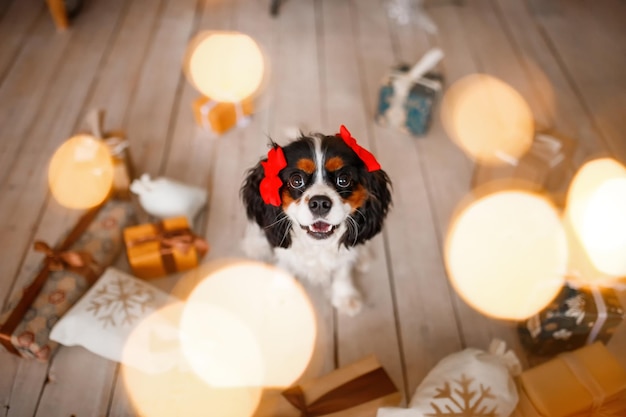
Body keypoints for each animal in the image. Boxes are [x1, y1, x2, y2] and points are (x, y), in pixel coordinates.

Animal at [239, 125, 390, 314]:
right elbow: (285, 266)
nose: (319, 203)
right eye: (296, 180)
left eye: (344, 180)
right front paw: (280, 294)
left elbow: (343, 270)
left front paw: (345, 297)